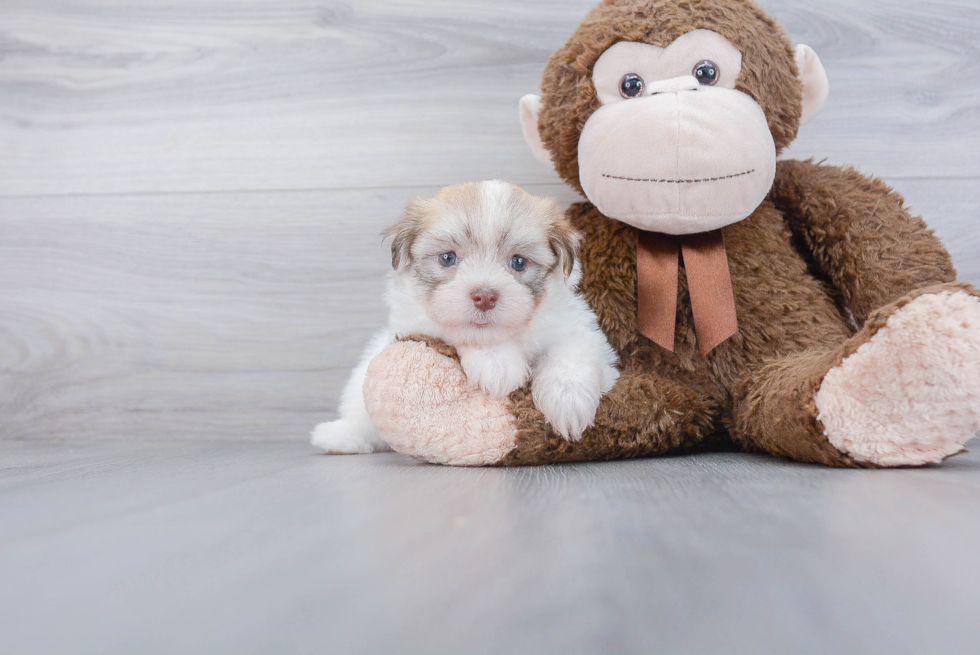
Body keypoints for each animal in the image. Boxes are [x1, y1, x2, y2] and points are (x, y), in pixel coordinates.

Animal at [312, 179, 620, 456]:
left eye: (518, 262)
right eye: (448, 258)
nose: (484, 296)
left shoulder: (579, 329)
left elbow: (571, 353)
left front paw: (568, 401)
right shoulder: (414, 321)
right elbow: (461, 334)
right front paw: (497, 364)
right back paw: (341, 437)